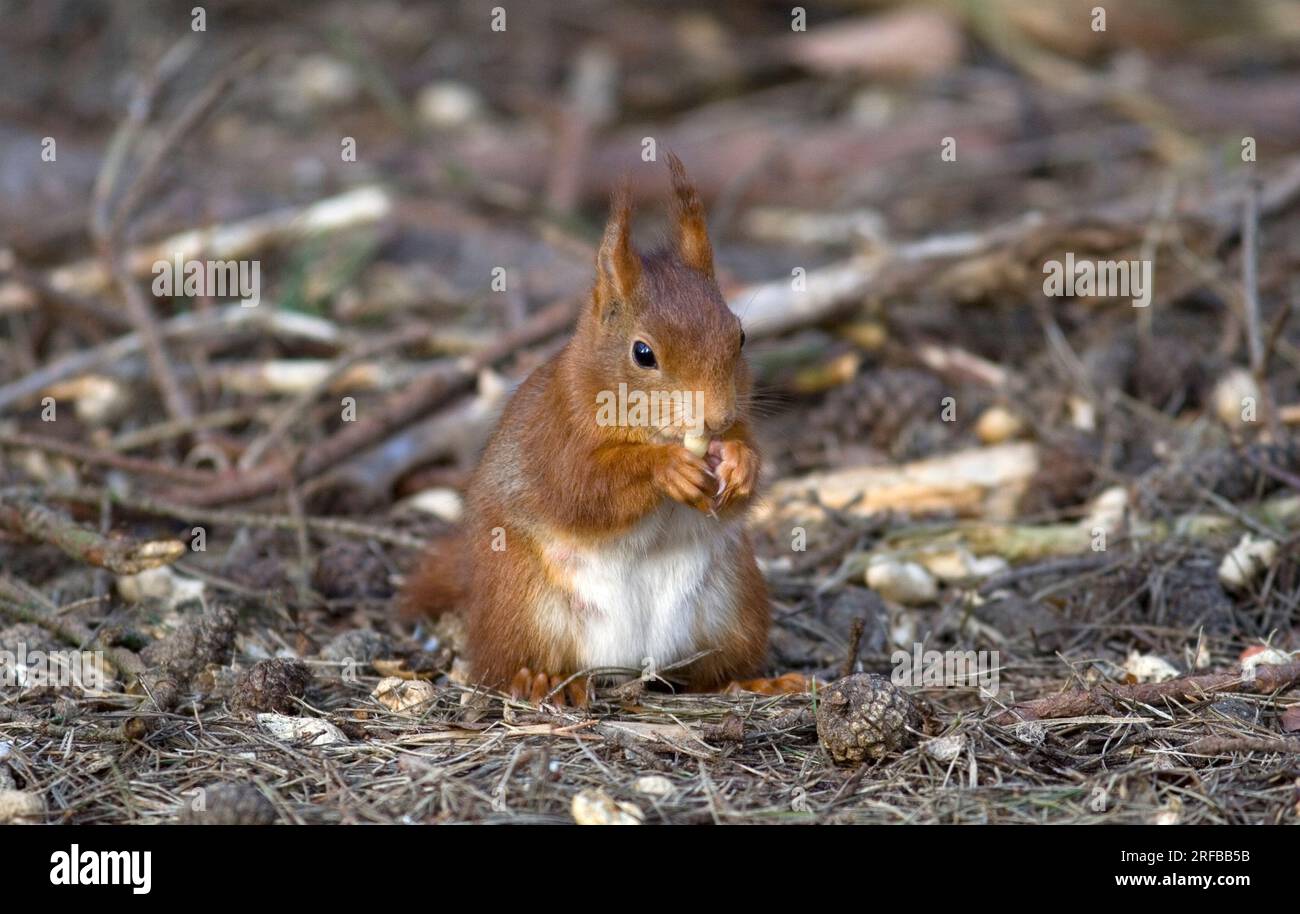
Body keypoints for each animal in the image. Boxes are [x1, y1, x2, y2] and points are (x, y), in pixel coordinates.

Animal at [403, 155, 769, 707]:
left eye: (740, 336)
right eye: (643, 353)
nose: (716, 417)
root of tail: (630, 662)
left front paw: (739, 463)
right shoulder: (557, 434)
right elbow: (583, 489)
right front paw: (668, 469)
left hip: (736, 604)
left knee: (716, 669)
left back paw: (755, 680)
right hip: (523, 602)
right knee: (498, 665)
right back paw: (536, 681)